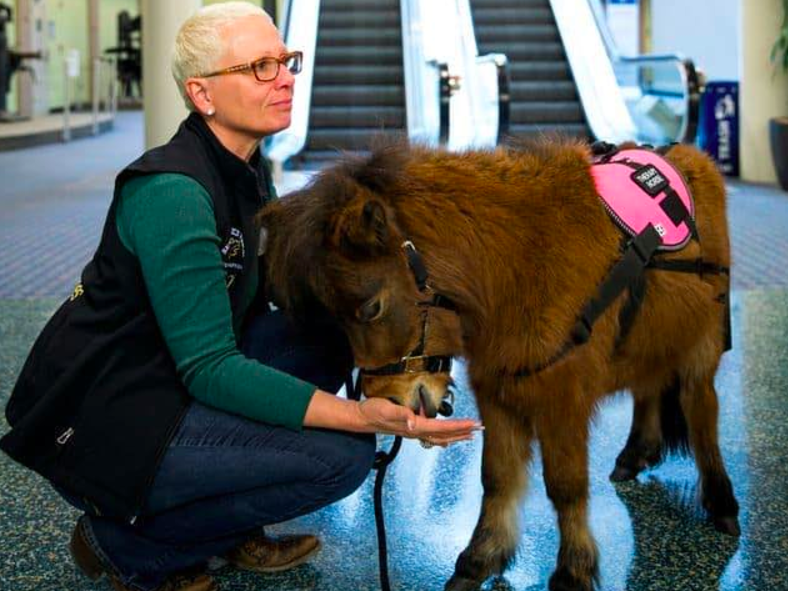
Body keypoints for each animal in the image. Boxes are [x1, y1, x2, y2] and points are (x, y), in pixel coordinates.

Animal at [258, 140, 740, 591]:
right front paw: (479, 560)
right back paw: (635, 454)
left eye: (371, 307)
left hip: (700, 349)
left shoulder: (563, 400)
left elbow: (565, 487)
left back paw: (722, 504)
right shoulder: (496, 390)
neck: (518, 264)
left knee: (702, 413)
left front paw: (573, 572)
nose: (388, 402)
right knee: (648, 387)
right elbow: (497, 477)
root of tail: (692, 156)